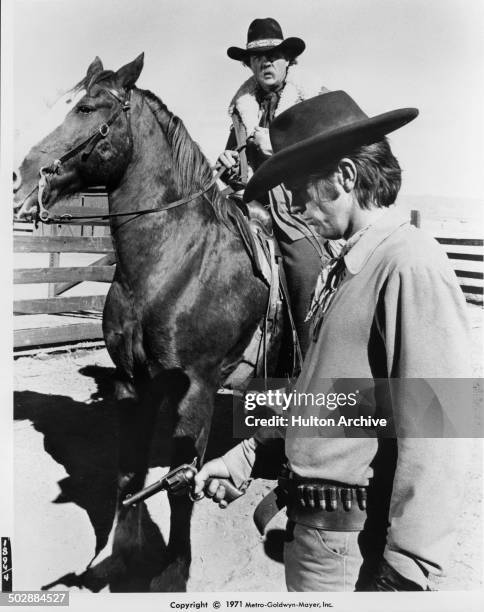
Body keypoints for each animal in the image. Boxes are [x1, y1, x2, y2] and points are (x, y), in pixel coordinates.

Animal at [13, 55, 280, 592]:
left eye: (87, 108)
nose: (17, 178)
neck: (174, 262)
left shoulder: (193, 391)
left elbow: (178, 486)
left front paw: (173, 571)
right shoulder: (133, 384)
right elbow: (129, 473)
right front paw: (120, 554)